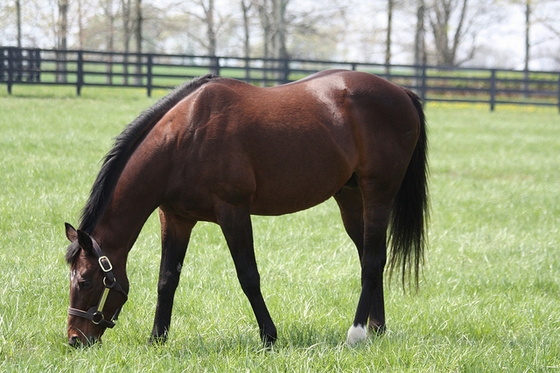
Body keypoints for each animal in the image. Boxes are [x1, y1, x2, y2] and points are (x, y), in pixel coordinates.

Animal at [63, 70, 428, 346]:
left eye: (86, 281)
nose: (75, 339)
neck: (185, 139)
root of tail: (400, 91)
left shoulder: (233, 212)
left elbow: (248, 276)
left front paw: (269, 336)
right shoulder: (176, 218)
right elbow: (167, 279)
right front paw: (157, 339)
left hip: (378, 193)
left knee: (373, 259)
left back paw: (357, 333)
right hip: (351, 199)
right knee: (370, 257)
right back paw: (376, 328)